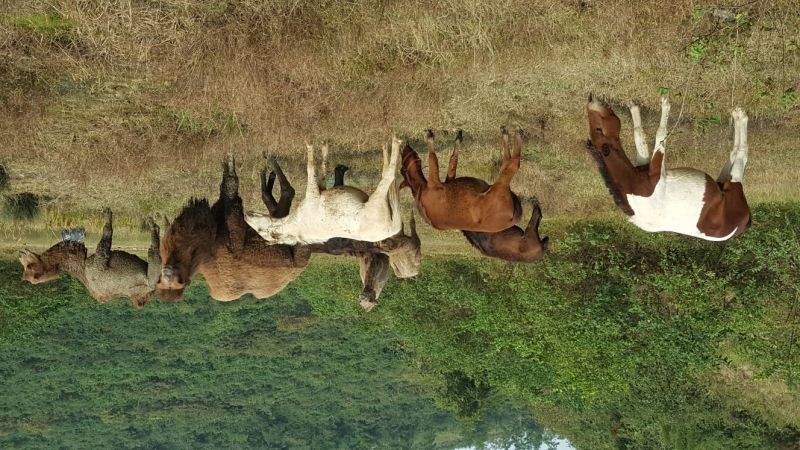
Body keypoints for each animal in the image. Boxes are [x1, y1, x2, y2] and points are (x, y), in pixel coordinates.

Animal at [19, 208, 161, 309]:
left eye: (28, 266)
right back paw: (153, 225)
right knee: (154, 259)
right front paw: (108, 216)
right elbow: (106, 236)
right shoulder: (100, 260)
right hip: (151, 279)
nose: (21, 254)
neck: (81, 265)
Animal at [245, 138, 403, 245]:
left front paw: (323, 147)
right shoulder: (313, 192)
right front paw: (310, 145)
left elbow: (321, 166)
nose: (246, 215)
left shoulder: (319, 189)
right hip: (378, 197)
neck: (294, 222)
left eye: (259, 230)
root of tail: (392, 229)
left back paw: (388, 145)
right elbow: (311, 167)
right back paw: (395, 142)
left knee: (387, 172)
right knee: (389, 174)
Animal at [586, 95, 751, 241]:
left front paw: (633, 107)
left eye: (597, 129)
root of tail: (746, 223)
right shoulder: (657, 168)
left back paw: (737, 116)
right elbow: (660, 133)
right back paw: (740, 116)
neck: (635, 190)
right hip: (733, 184)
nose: (590, 101)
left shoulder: (645, 162)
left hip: (722, 182)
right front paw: (665, 105)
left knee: (733, 152)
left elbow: (639, 133)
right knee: (741, 154)